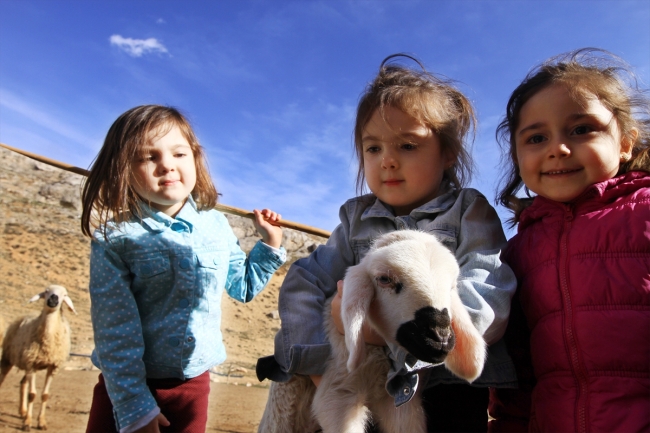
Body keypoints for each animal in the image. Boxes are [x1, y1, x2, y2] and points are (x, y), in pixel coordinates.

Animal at [0, 286, 75, 430]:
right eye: (46, 291)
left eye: (64, 294)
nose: (53, 298)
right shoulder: (32, 365)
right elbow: (32, 395)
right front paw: (28, 423)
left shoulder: (52, 367)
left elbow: (45, 395)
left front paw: (41, 422)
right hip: (8, 359)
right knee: (2, 380)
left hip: (27, 363)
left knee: (23, 383)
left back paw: (23, 412)